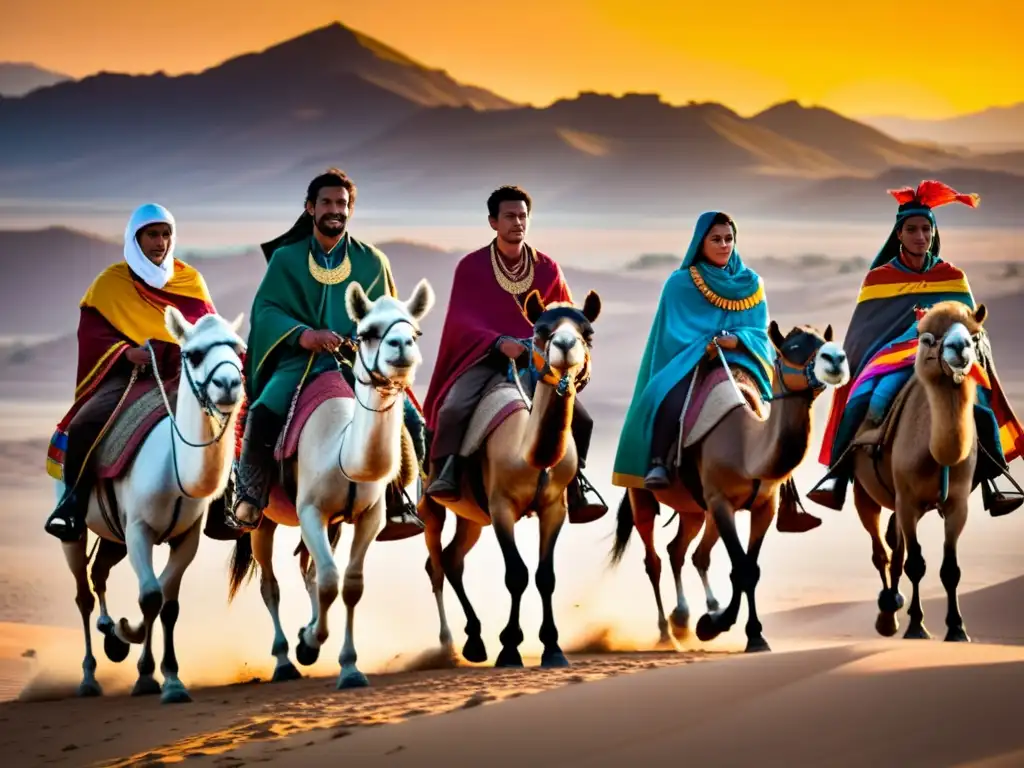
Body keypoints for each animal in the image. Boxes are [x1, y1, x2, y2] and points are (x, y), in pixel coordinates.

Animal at [58, 307, 245, 704]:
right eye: (193, 354)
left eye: (238, 349)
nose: (228, 384)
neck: (173, 469)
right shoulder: (139, 530)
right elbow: (150, 595)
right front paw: (146, 675)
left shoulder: (186, 537)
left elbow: (167, 603)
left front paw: (168, 677)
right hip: (76, 529)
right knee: (82, 592)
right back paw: (89, 677)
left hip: (113, 537)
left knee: (99, 572)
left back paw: (111, 633)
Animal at [228, 278, 436, 692]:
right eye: (368, 332)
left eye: (415, 331)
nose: (401, 346)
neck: (340, 449)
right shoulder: (311, 512)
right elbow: (328, 581)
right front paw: (309, 646)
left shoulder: (368, 517)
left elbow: (350, 584)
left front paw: (348, 666)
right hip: (264, 522)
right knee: (271, 584)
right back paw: (284, 662)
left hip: (335, 524)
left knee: (307, 568)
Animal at [421, 286, 602, 667]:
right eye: (541, 331)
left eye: (588, 333)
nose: (566, 344)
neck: (527, 454)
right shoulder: (501, 506)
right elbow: (516, 574)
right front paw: (509, 648)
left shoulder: (554, 507)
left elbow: (545, 576)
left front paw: (553, 649)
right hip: (431, 503)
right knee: (436, 563)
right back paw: (450, 647)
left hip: (473, 517)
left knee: (453, 558)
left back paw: (475, 641)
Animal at [606, 321, 847, 651]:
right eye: (793, 348)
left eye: (825, 341)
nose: (836, 358)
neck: (746, 448)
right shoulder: (721, 502)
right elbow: (741, 568)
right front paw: (720, 626)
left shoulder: (764, 507)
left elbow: (751, 568)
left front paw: (741, 629)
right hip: (641, 496)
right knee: (653, 560)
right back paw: (667, 633)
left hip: (694, 510)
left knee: (682, 551)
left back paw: (684, 617)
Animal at [847, 301, 991, 643]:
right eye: (927, 339)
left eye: (975, 335)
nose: (959, 347)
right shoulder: (908, 501)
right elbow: (915, 563)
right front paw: (916, 626)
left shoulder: (957, 505)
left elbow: (950, 568)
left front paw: (957, 628)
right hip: (864, 493)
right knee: (881, 551)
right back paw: (887, 614)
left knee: (893, 547)